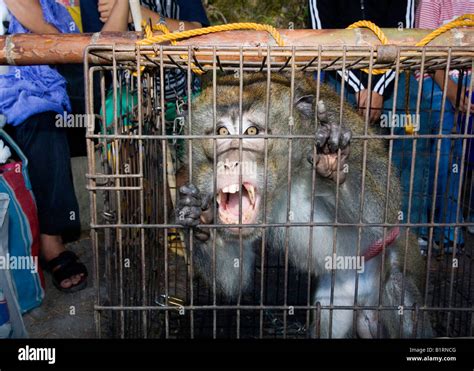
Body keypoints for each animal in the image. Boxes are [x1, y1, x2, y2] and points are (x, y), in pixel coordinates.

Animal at [175, 72, 434, 340]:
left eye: (252, 130)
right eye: (222, 130)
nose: (229, 163)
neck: (289, 173)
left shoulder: (340, 128)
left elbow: (387, 209)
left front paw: (333, 161)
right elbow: (234, 280)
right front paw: (200, 218)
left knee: (397, 284)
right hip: (337, 297)